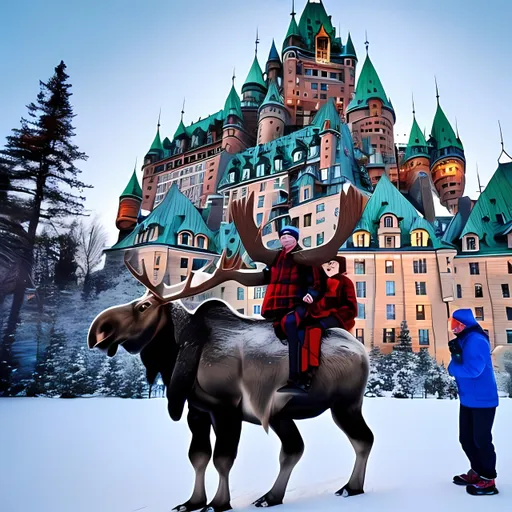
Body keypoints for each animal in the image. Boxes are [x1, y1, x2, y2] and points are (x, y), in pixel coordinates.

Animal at [89, 185, 372, 512]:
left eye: (143, 306)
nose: (97, 330)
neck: (177, 353)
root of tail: (363, 352)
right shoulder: (197, 410)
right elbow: (197, 456)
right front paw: (192, 502)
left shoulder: (226, 407)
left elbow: (223, 459)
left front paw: (218, 503)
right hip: (283, 414)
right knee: (294, 448)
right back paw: (272, 496)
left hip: (345, 403)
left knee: (362, 439)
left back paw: (352, 487)